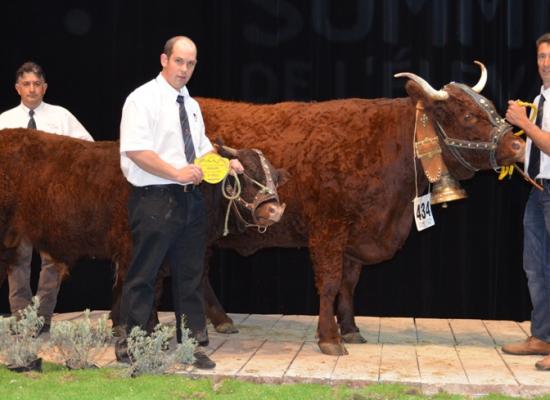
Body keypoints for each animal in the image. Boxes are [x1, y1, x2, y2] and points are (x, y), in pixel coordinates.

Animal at [195, 64, 528, 354]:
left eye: (492, 107)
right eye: (469, 116)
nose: (517, 145)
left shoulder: (355, 238)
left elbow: (348, 284)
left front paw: (351, 329)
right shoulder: (328, 230)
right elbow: (330, 283)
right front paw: (329, 338)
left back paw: (221, 321)